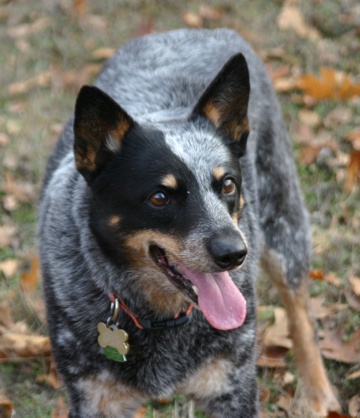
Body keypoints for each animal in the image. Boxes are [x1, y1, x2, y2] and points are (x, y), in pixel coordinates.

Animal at [39, 27, 340, 416]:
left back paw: (317, 393)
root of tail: (201, 30)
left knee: (300, 310)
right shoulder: (93, 398)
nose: (234, 253)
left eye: (228, 184)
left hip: (282, 224)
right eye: (160, 197)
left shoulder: (233, 385)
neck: (161, 315)